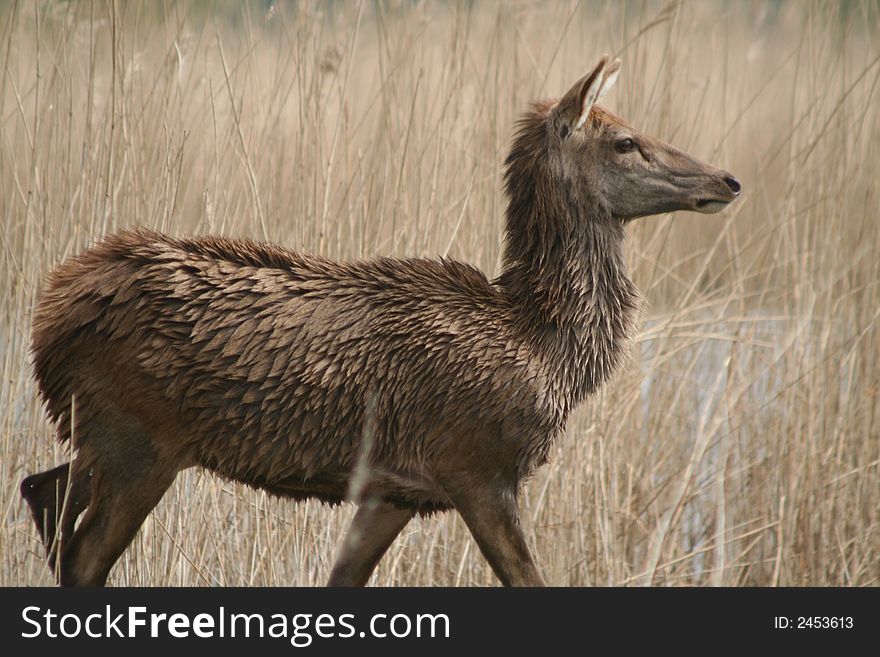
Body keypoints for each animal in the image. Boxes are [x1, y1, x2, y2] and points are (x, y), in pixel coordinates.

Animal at [20, 56, 740, 588]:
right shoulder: (479, 464)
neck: (545, 346)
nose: (727, 179)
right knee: (81, 554)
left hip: (100, 431)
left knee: (39, 491)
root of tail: (52, 314)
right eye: (625, 141)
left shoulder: (395, 491)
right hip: (140, 438)